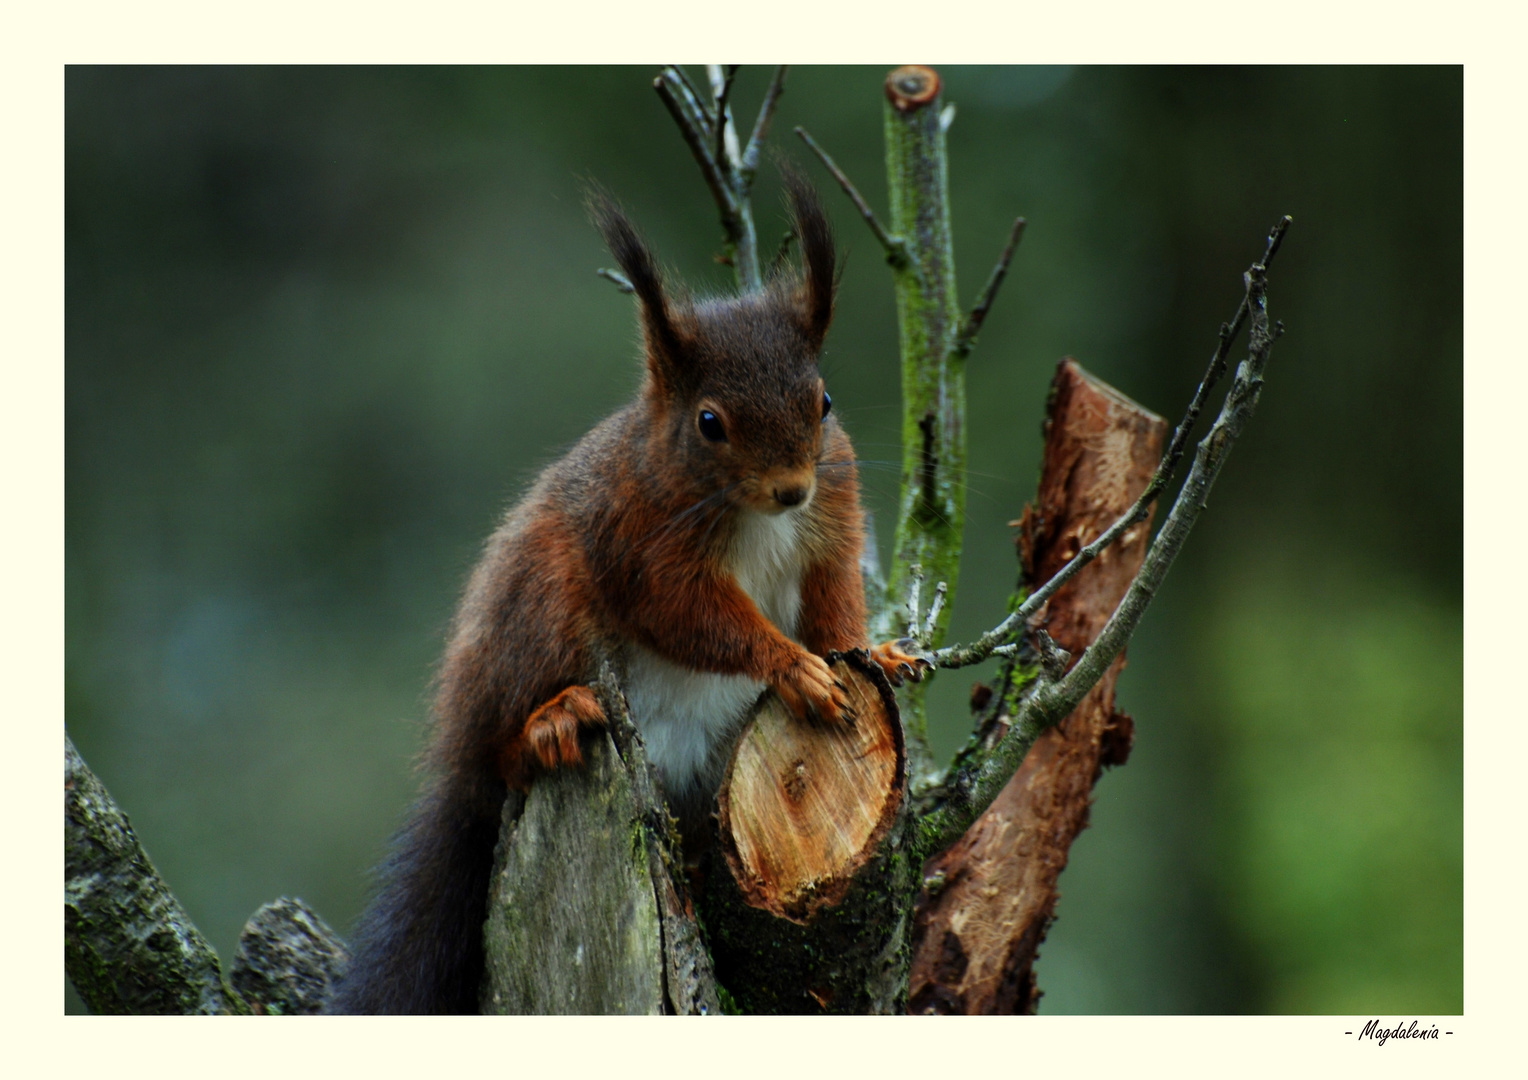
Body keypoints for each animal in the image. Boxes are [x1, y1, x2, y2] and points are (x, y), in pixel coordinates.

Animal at [328, 175, 929, 1014]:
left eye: (825, 402)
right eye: (709, 422)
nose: (791, 489)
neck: (753, 515)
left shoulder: (833, 518)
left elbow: (834, 597)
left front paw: (869, 653)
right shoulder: (638, 540)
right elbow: (687, 615)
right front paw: (794, 666)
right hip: (539, 609)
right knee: (501, 757)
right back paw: (546, 723)